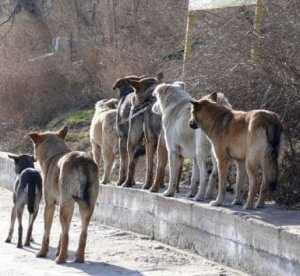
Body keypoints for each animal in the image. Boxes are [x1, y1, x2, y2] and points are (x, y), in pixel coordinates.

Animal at [28, 126, 98, 264]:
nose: (32, 157)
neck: (54, 155)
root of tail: (83, 160)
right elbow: (61, 233)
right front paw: (57, 251)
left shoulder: (49, 206)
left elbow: (47, 233)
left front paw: (43, 253)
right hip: (85, 208)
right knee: (83, 234)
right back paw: (78, 258)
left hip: (64, 208)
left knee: (67, 235)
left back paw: (61, 259)